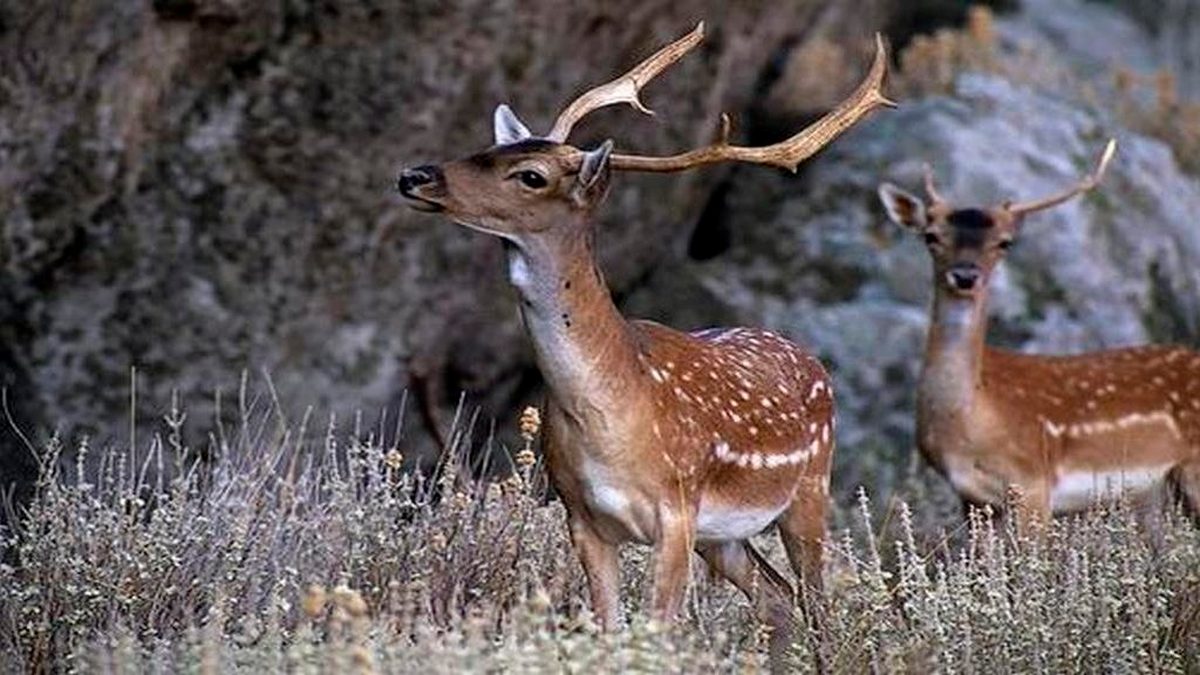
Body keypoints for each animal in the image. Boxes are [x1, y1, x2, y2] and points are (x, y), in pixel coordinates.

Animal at [398, 24, 897, 658]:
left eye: (531, 175)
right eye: (486, 148)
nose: (414, 176)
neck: (608, 415)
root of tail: (810, 358)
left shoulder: (675, 510)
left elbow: (658, 630)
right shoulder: (581, 516)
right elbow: (609, 629)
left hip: (810, 487)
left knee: (817, 607)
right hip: (723, 534)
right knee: (776, 598)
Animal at [873, 141, 1200, 526]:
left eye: (1004, 243)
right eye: (930, 236)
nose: (965, 276)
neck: (970, 422)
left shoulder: (1033, 483)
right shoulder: (971, 497)